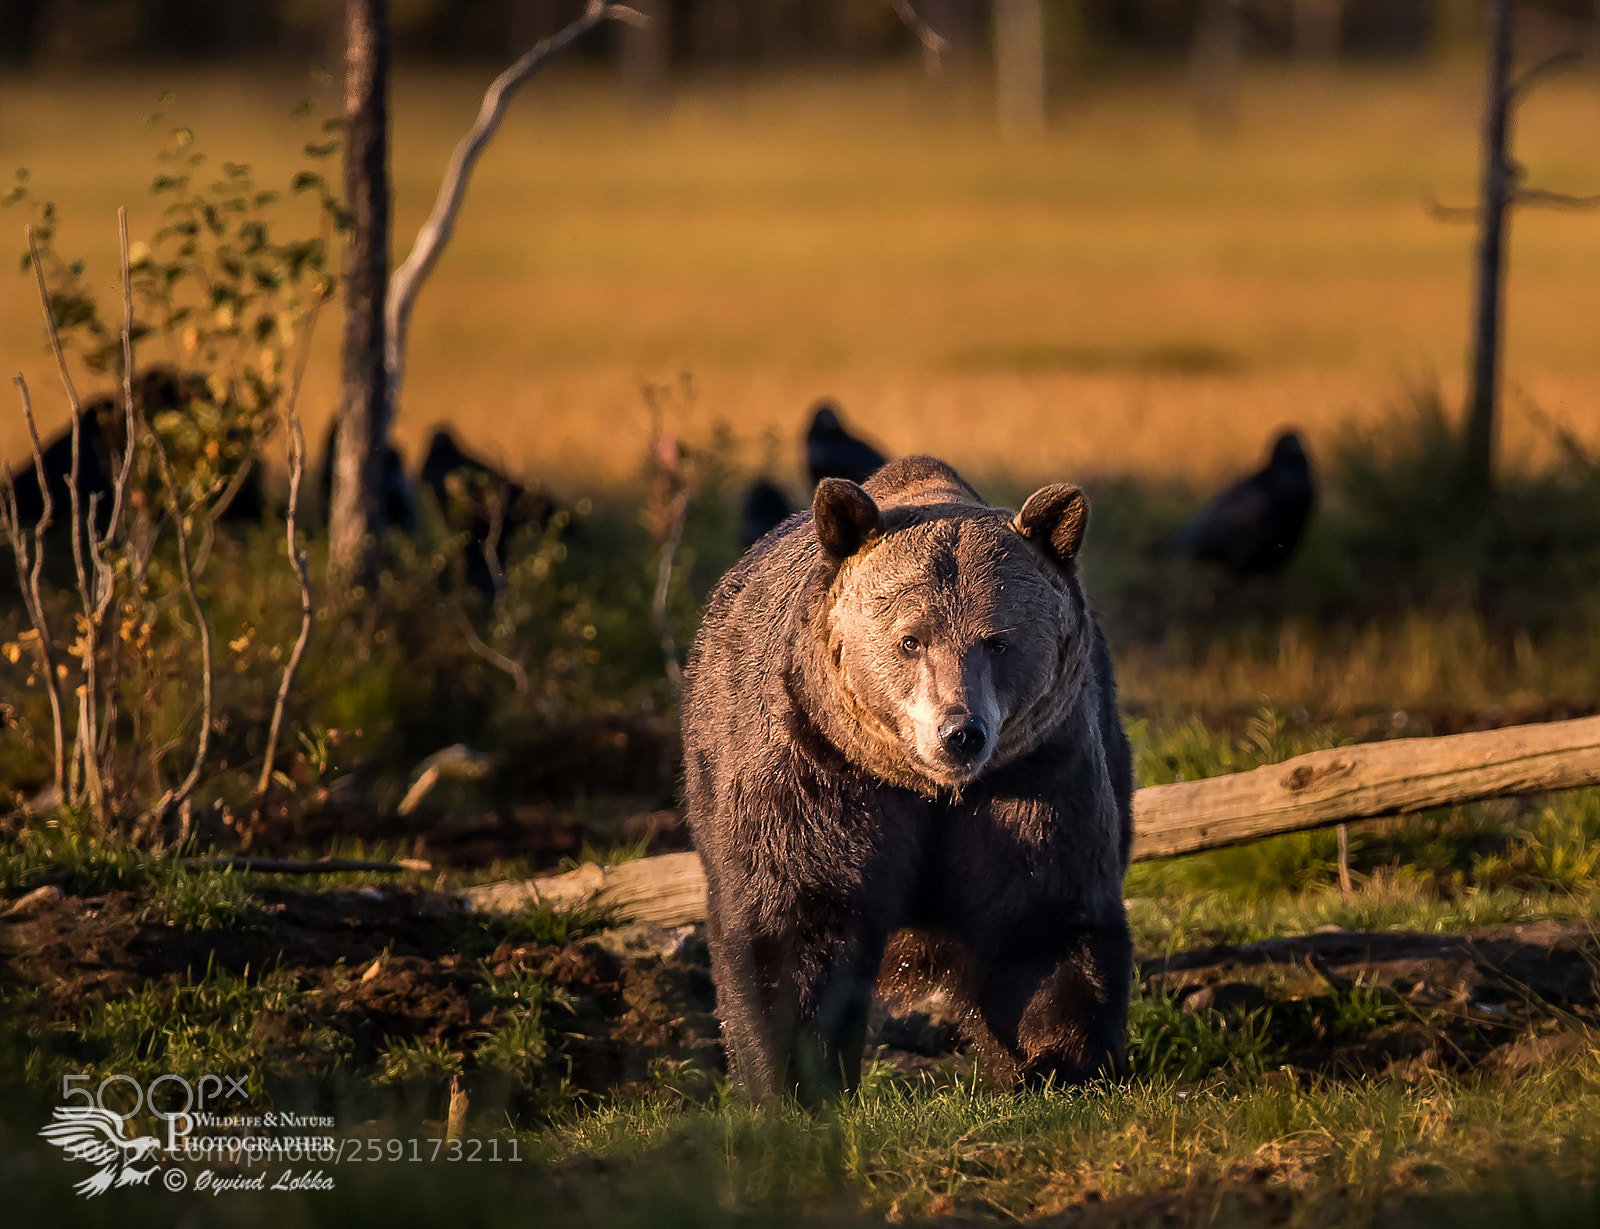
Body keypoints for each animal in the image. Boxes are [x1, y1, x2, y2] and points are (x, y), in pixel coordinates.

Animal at [681, 455, 1133, 1102]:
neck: (927, 788)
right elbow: (794, 921)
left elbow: (1038, 917)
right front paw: (791, 1080)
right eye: (910, 639)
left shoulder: (1035, 771)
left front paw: (1057, 1062)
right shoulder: (818, 770)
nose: (960, 732)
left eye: (998, 641)